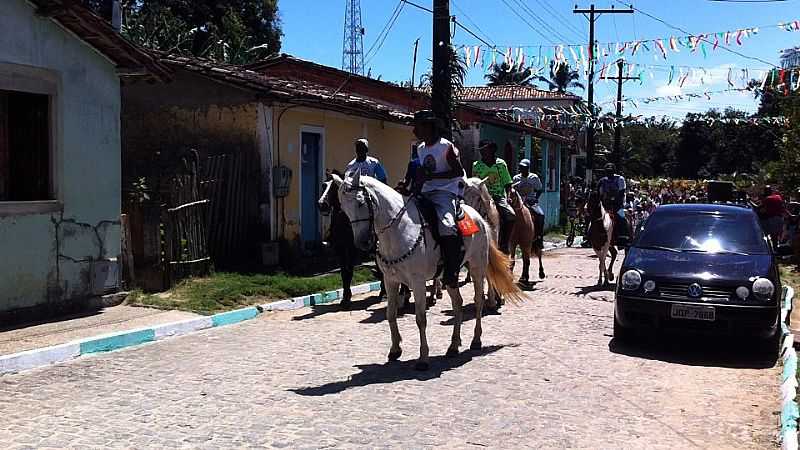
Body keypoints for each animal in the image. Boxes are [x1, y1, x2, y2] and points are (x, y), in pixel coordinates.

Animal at [334, 172, 520, 370]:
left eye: (360, 203)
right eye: (343, 207)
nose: (362, 243)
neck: (399, 230)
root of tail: (480, 218)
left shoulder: (417, 282)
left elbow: (420, 318)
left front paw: (423, 358)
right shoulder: (390, 280)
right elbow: (390, 314)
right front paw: (395, 350)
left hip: (477, 267)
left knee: (478, 301)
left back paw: (476, 339)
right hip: (450, 275)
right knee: (458, 304)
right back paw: (453, 346)